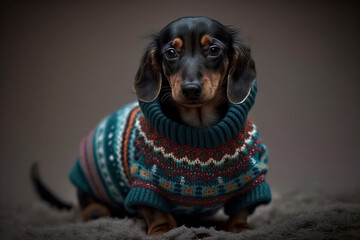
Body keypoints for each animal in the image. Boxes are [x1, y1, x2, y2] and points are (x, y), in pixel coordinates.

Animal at [32, 16, 272, 236]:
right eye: (171, 53)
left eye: (214, 50)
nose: (191, 89)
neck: (199, 129)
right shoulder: (146, 183)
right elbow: (156, 212)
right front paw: (162, 230)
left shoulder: (252, 180)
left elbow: (242, 210)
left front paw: (241, 229)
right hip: (94, 203)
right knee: (95, 210)